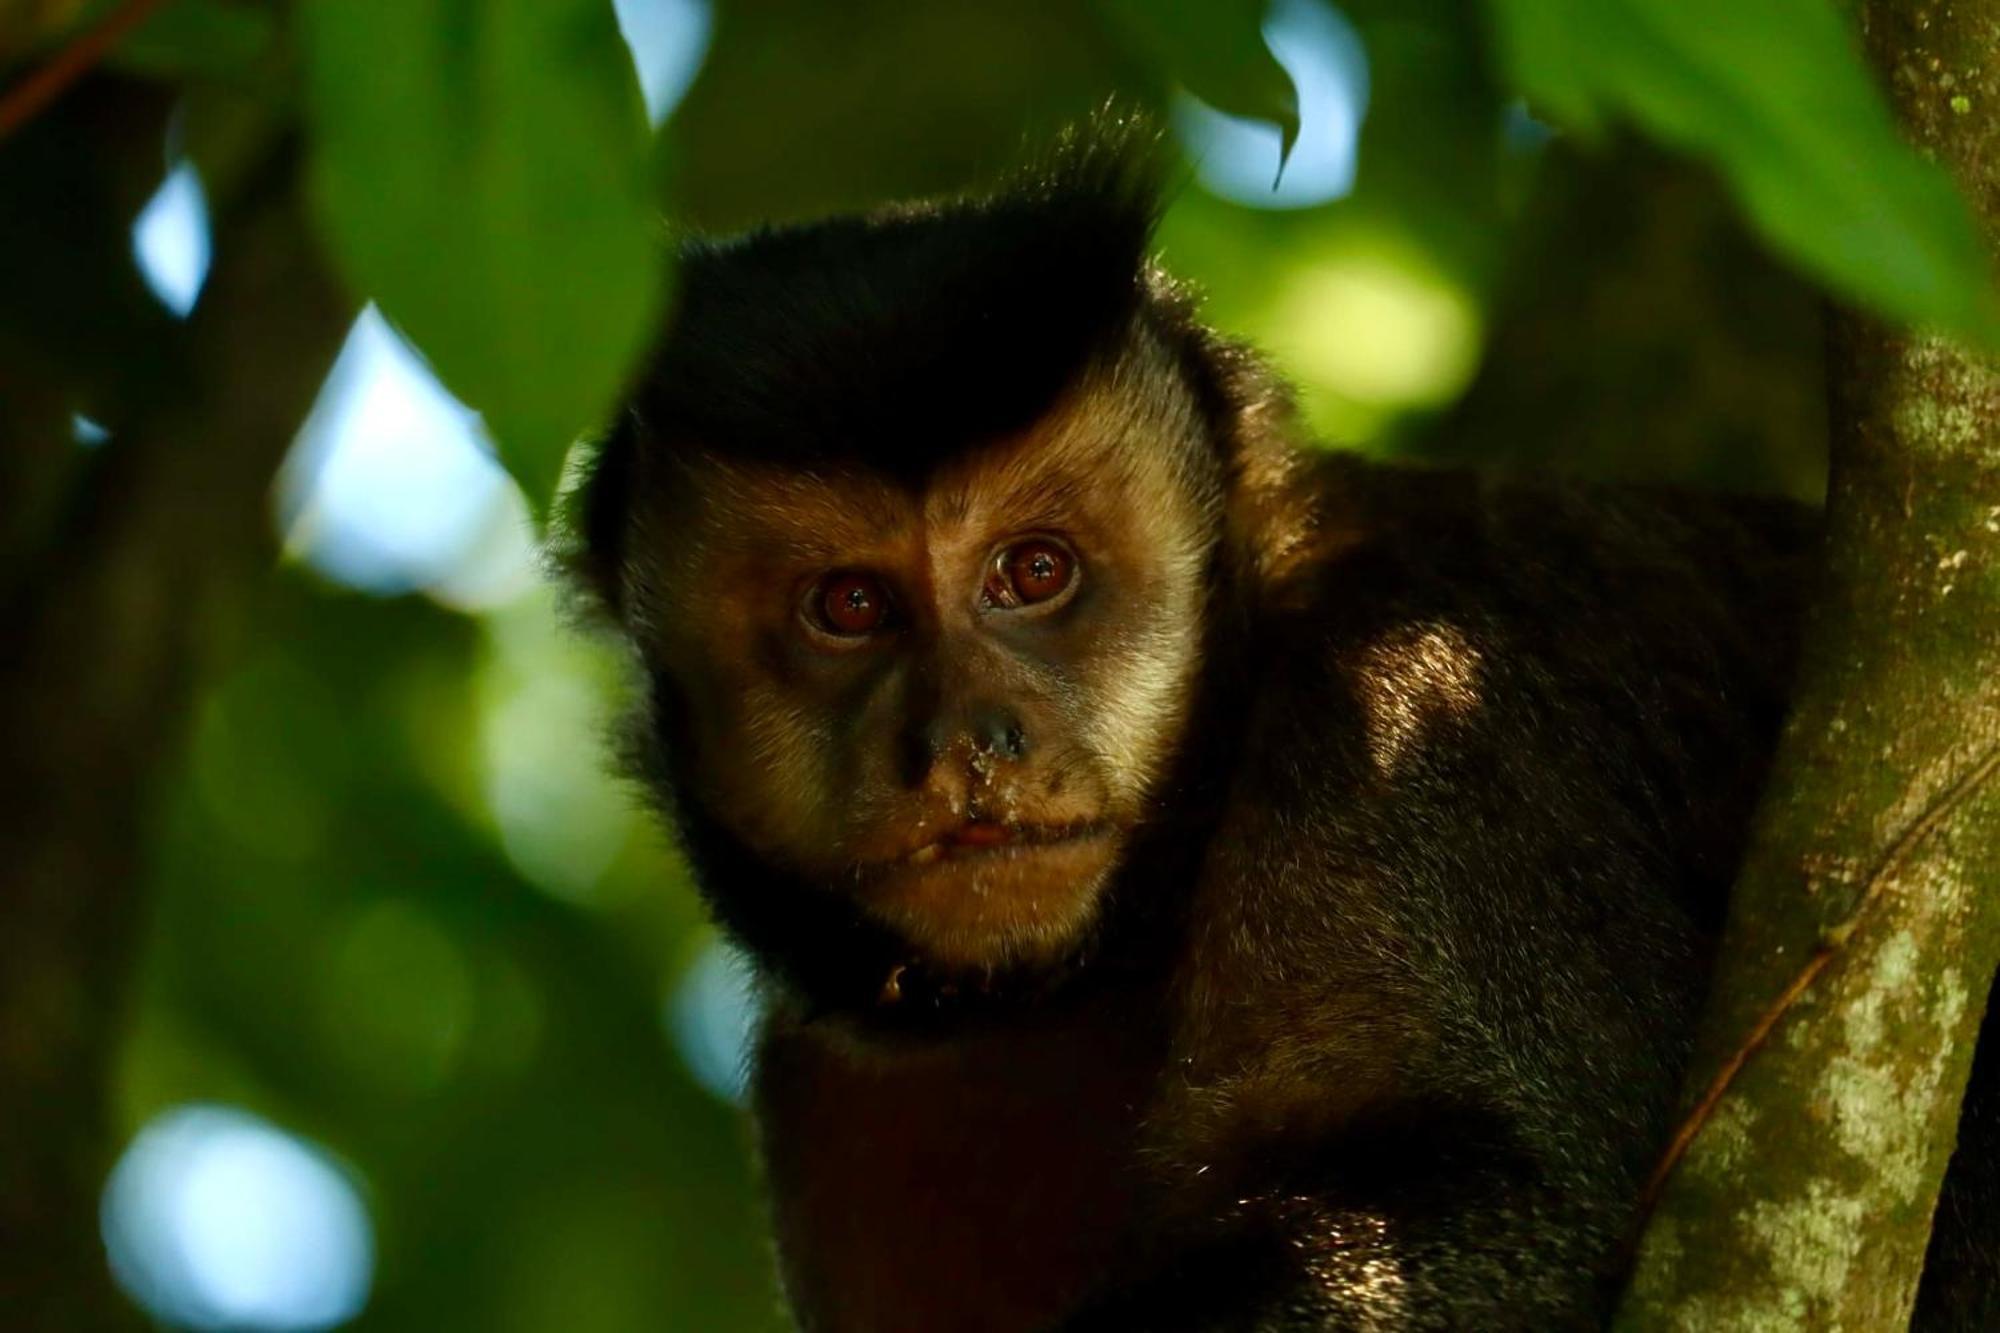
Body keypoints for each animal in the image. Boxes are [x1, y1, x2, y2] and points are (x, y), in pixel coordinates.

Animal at [564, 127, 2000, 1328]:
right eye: (849, 606)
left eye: (1034, 573)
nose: (973, 739)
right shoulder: (827, 1096)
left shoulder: (1412, 719)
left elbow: (1518, 1196)